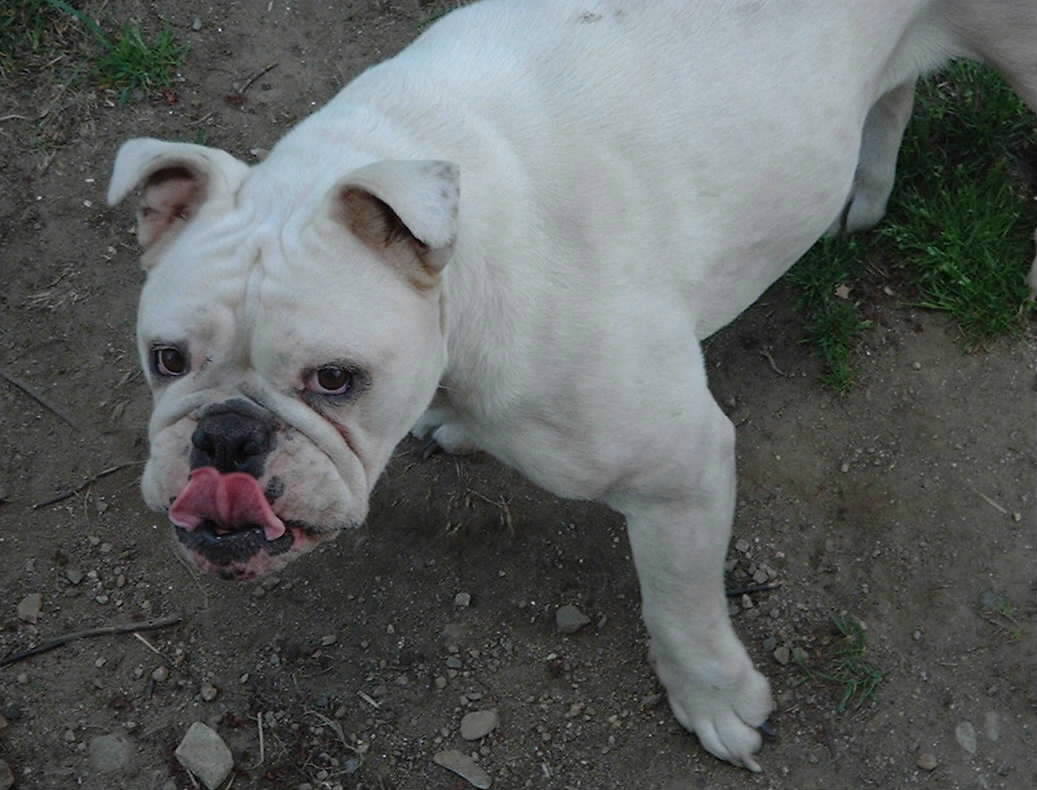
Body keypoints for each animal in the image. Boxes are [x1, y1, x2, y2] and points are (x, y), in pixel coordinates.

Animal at [107, 0, 1037, 771]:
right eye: (166, 360)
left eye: (336, 380)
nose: (226, 434)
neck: (464, 266)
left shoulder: (679, 476)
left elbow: (679, 605)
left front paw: (712, 697)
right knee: (891, 95)